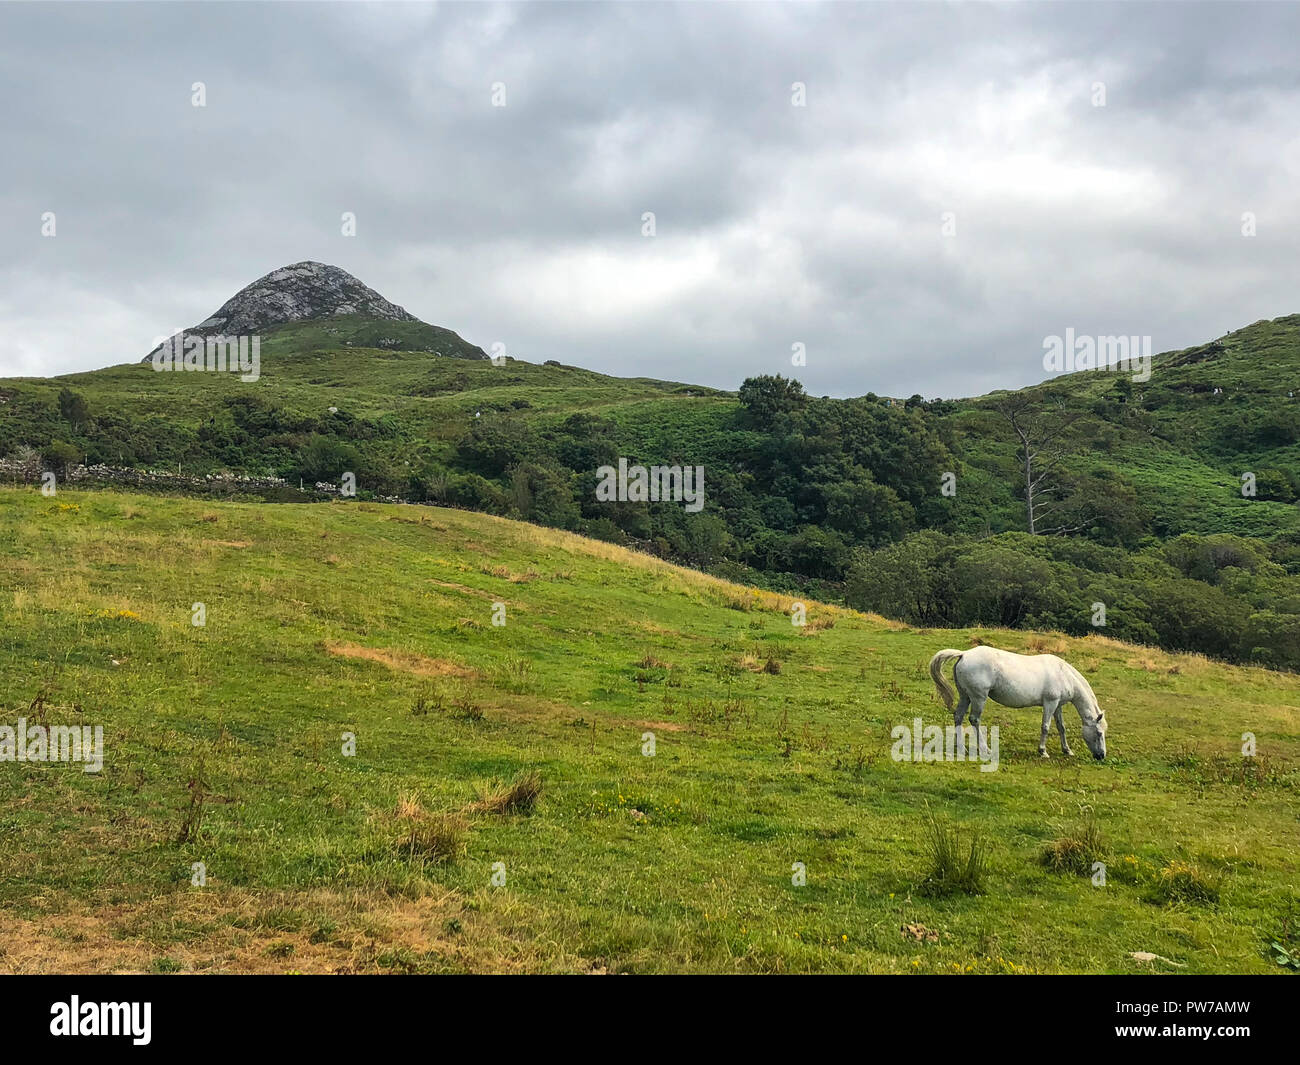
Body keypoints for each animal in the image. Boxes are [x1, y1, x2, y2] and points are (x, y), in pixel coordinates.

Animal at [925, 644, 1107, 764]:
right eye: (1098, 733)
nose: (1101, 755)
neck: (1063, 674)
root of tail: (964, 654)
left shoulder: (1058, 706)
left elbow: (1061, 727)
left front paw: (1067, 750)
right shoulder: (1050, 703)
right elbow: (1046, 727)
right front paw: (1043, 751)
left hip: (965, 696)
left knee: (958, 716)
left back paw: (961, 747)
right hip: (978, 697)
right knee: (974, 720)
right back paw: (985, 749)